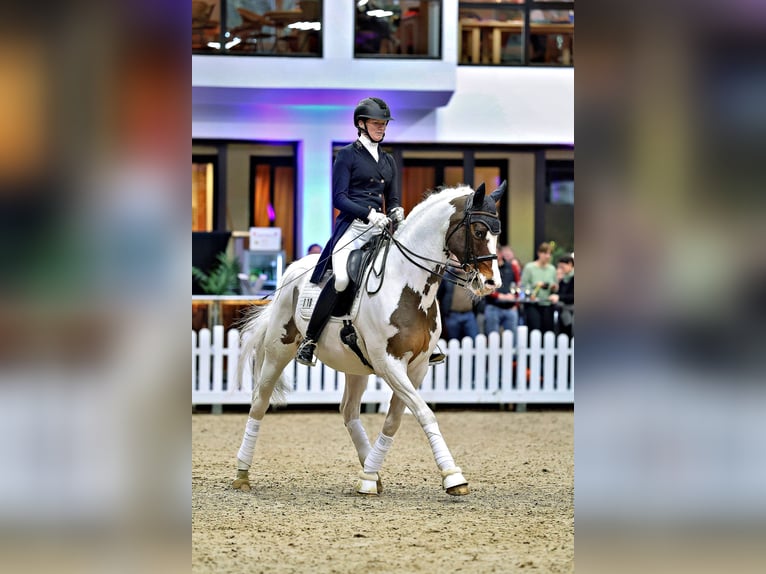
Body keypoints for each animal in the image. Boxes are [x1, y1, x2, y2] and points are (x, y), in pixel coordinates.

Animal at [232, 180, 507, 496]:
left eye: (498, 234)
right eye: (479, 231)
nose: (491, 283)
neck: (407, 283)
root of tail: (293, 268)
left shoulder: (417, 367)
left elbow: (394, 421)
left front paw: (369, 476)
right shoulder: (389, 363)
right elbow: (425, 413)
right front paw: (453, 476)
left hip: (355, 365)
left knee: (349, 411)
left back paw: (370, 474)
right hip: (279, 350)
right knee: (259, 401)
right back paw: (242, 474)